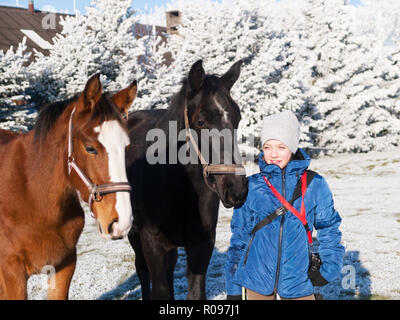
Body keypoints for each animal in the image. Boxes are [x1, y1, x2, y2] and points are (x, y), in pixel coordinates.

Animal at [126, 60, 248, 300]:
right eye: (200, 121)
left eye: (237, 119)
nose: (236, 189)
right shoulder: (151, 242)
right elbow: (159, 289)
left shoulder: (201, 244)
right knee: (142, 271)